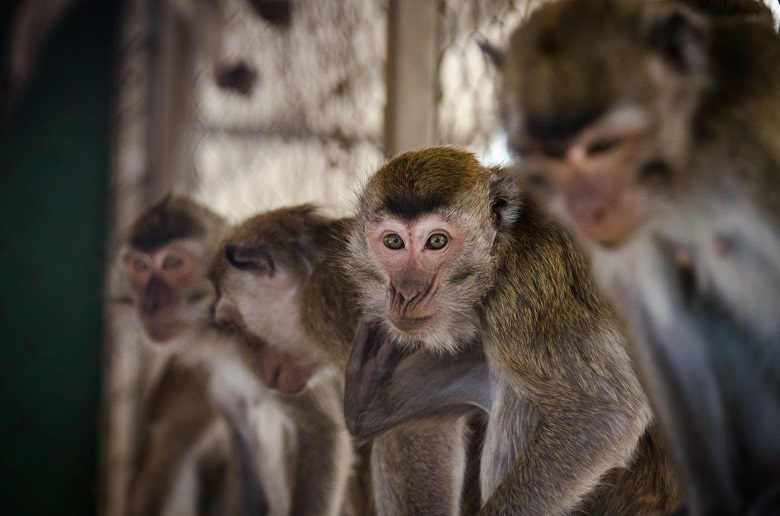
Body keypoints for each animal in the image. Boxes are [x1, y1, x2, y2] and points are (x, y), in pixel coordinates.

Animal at [344, 146, 680, 516]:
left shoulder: (530, 287)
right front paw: (368, 392)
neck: (502, 246)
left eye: (436, 241)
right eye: (393, 242)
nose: (406, 294)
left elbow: (606, 411)